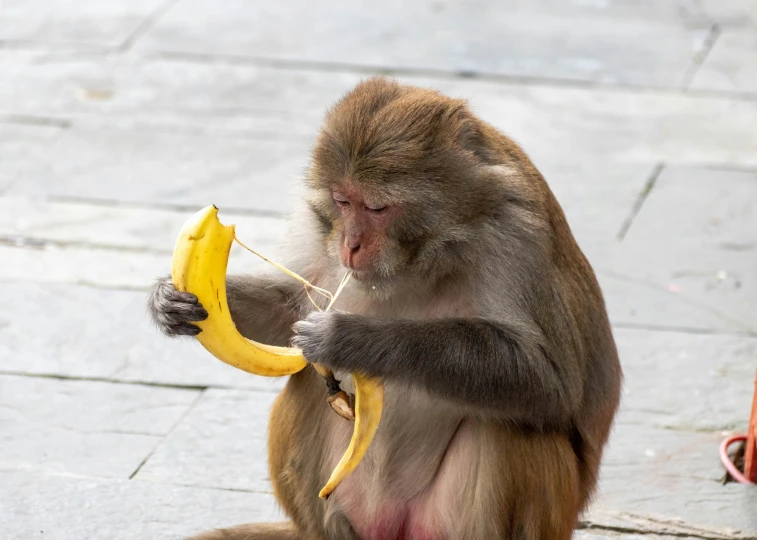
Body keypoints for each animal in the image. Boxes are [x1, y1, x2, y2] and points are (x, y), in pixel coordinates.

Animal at [148, 77, 620, 540]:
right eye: (342, 200)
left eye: (376, 207)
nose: (349, 244)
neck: (432, 251)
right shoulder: (319, 224)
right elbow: (293, 308)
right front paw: (169, 301)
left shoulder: (515, 232)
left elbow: (546, 379)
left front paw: (351, 338)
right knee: (307, 385)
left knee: (509, 425)